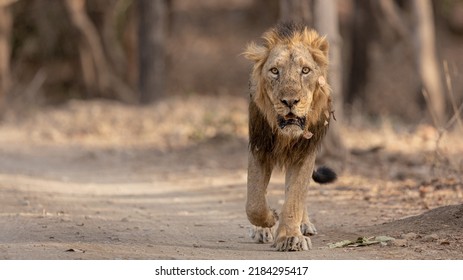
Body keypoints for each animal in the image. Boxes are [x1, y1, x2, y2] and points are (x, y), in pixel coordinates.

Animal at [243, 22, 338, 252]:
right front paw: (269, 220)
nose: (290, 101)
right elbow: (254, 202)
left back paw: (304, 225)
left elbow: (295, 196)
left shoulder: (305, 152)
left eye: (305, 71)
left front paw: (290, 237)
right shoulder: (258, 148)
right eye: (274, 71)